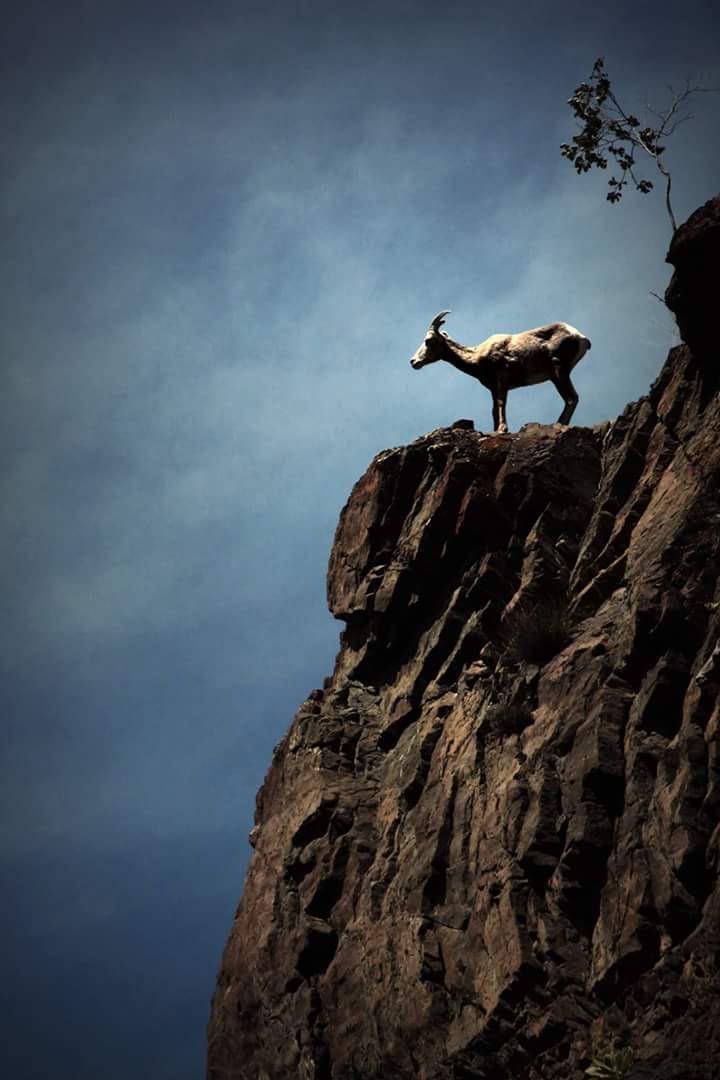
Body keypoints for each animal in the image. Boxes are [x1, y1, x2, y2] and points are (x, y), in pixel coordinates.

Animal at [410, 311, 591, 433]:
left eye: (429, 340)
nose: (413, 362)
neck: (478, 356)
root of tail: (581, 338)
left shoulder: (502, 380)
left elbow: (500, 404)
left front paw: (502, 429)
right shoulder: (493, 388)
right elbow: (493, 410)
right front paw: (496, 429)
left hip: (559, 373)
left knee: (571, 398)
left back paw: (558, 424)